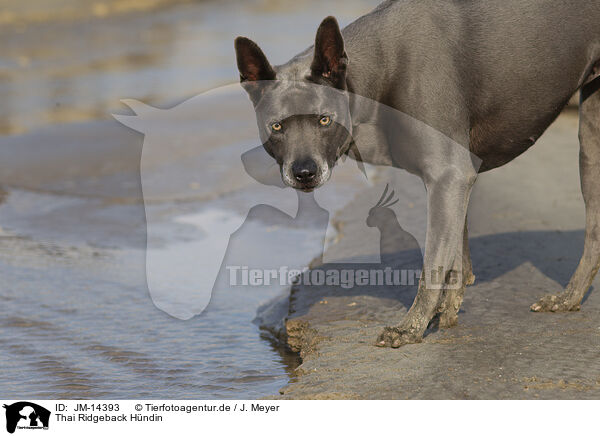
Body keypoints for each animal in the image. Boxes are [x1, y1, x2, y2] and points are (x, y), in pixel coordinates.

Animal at [233, 0, 600, 348]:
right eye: (276, 127)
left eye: (324, 120)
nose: (304, 173)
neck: (381, 71)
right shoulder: (455, 177)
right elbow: (456, 256)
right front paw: (445, 313)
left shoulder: (449, 174)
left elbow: (433, 264)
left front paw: (410, 328)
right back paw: (569, 299)